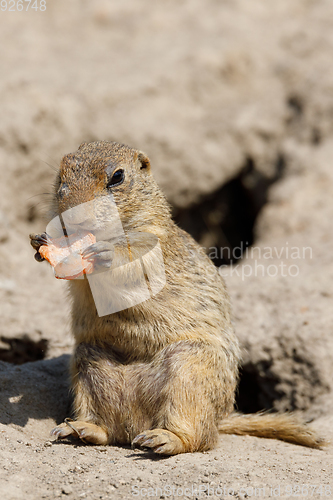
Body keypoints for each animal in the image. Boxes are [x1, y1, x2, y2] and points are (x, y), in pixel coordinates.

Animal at [29, 143, 320, 456]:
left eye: (117, 176)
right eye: (61, 176)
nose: (70, 218)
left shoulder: (155, 241)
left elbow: (137, 261)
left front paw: (105, 253)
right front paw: (40, 242)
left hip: (189, 371)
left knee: (201, 438)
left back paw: (163, 439)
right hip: (87, 366)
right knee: (108, 430)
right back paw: (79, 429)